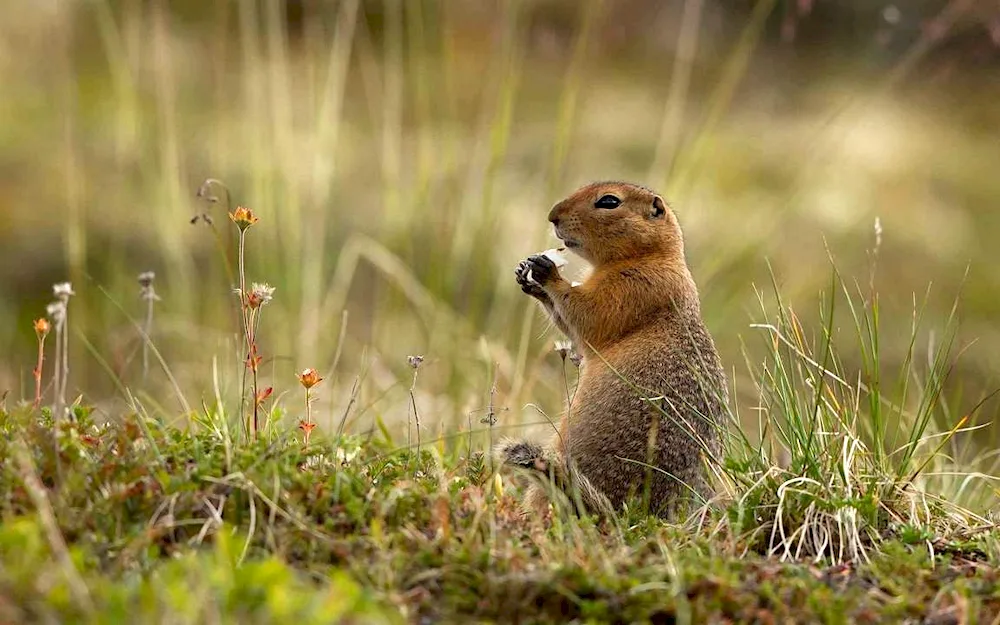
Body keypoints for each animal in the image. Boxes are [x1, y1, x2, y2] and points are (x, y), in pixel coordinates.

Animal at [498, 179, 728, 516]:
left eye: (609, 201)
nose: (552, 216)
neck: (651, 256)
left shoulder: (633, 287)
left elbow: (589, 314)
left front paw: (547, 273)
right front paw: (526, 276)